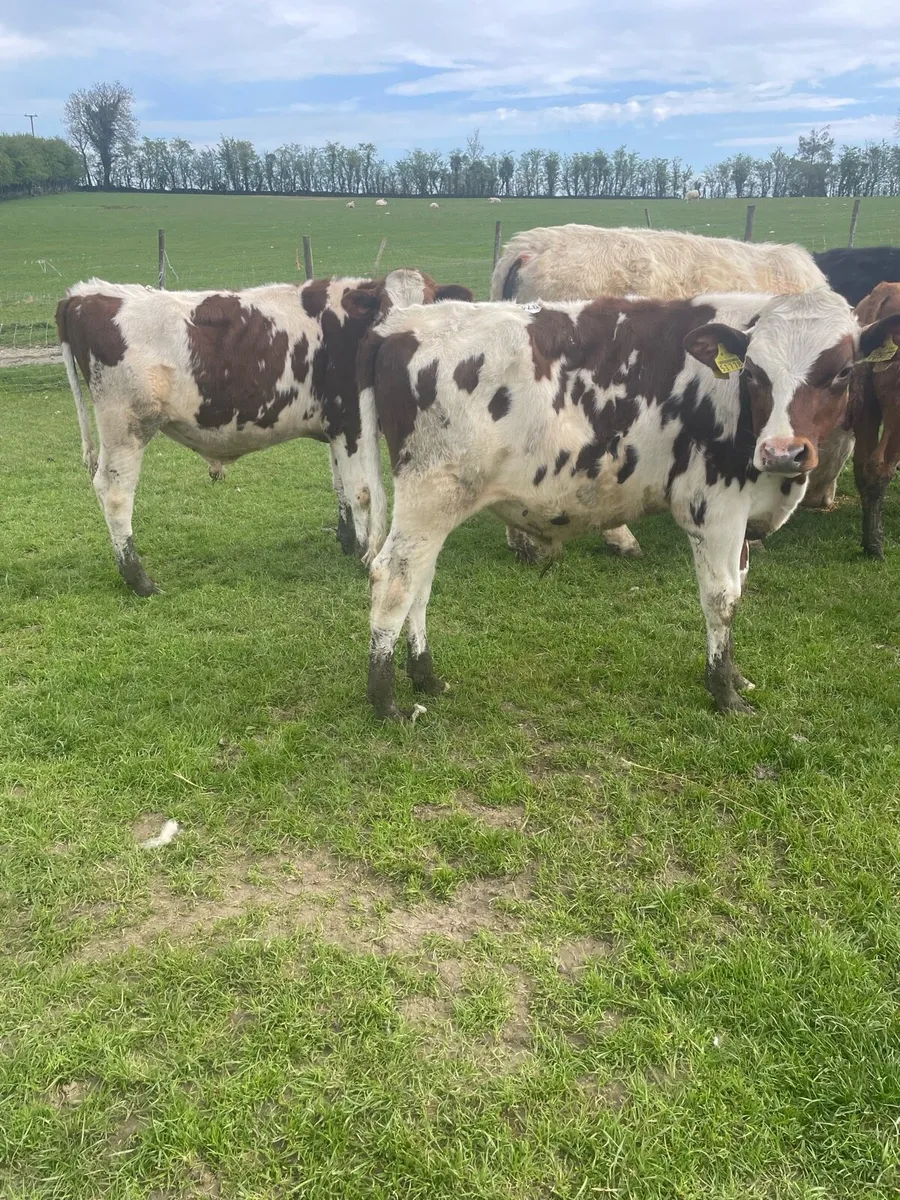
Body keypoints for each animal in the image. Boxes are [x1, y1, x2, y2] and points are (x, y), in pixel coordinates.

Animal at [56, 269, 473, 596]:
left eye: (430, 305)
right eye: (385, 308)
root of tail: (82, 294)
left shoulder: (334, 426)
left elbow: (339, 483)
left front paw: (345, 540)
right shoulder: (351, 422)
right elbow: (363, 493)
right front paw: (364, 552)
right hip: (126, 426)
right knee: (114, 493)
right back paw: (138, 579)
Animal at [359, 288, 897, 722]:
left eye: (842, 371)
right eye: (754, 374)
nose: (783, 451)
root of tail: (399, 325)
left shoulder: (743, 520)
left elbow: (739, 590)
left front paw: (736, 676)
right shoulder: (713, 510)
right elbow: (721, 599)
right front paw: (724, 694)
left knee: (420, 582)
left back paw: (426, 677)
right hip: (431, 493)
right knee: (393, 578)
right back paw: (386, 702)